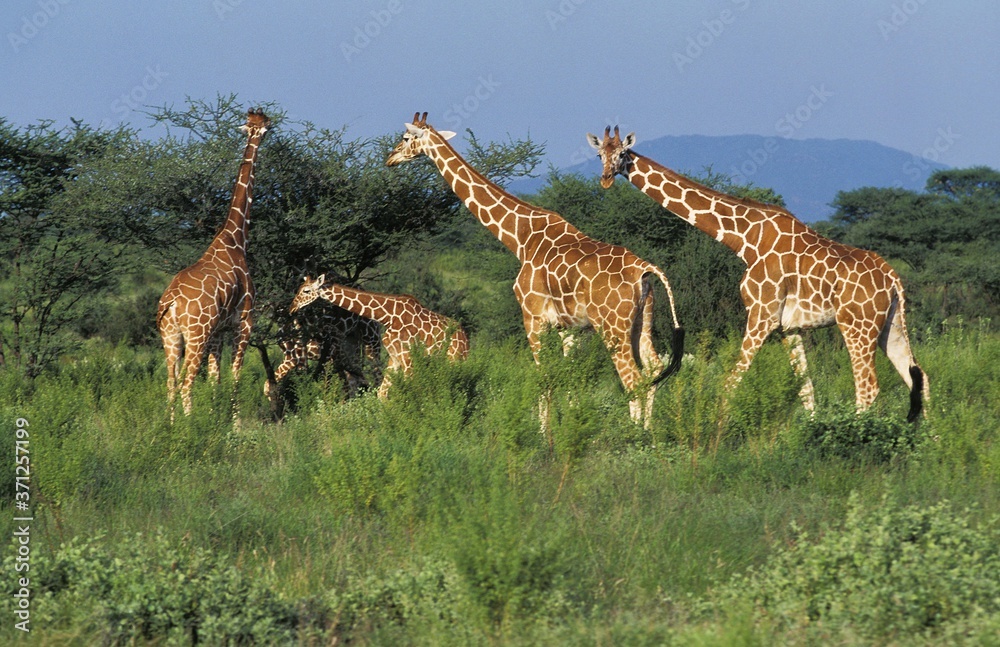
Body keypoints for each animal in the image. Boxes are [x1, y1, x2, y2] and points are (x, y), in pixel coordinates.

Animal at [157, 108, 270, 416]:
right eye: (265, 125)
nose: (268, 125)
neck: (235, 238)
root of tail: (172, 303)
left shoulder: (219, 330)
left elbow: (216, 378)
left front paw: (216, 418)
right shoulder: (244, 321)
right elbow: (235, 375)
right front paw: (234, 422)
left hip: (171, 337)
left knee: (171, 384)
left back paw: (170, 425)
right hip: (197, 335)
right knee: (186, 383)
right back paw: (189, 425)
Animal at [289, 275, 469, 399]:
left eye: (306, 290)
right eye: (298, 288)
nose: (292, 308)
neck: (388, 316)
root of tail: (465, 337)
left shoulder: (408, 358)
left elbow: (410, 390)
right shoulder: (395, 357)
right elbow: (382, 393)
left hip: (455, 358)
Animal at [386, 113, 684, 426]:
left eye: (405, 138)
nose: (390, 158)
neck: (521, 238)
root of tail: (645, 269)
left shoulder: (533, 316)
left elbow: (544, 377)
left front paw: (544, 433)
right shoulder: (569, 328)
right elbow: (569, 378)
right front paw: (570, 424)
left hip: (613, 326)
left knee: (633, 379)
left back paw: (633, 434)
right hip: (642, 321)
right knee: (653, 370)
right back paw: (649, 432)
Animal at [589, 126, 929, 421]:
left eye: (622, 153)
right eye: (599, 154)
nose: (605, 179)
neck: (745, 240)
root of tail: (893, 278)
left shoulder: (761, 315)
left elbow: (730, 383)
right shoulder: (788, 327)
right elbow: (806, 390)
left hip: (857, 326)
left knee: (868, 386)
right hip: (890, 325)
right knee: (919, 377)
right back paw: (931, 441)